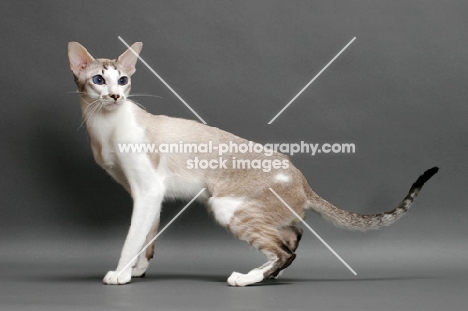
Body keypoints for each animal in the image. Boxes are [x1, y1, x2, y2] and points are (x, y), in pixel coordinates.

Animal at [67, 41, 436, 288]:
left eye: (123, 80)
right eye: (99, 81)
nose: (115, 96)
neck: (104, 127)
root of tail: (303, 181)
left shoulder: (147, 191)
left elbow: (133, 238)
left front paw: (120, 274)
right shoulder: (145, 195)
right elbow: (147, 237)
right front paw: (138, 271)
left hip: (225, 205)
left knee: (284, 249)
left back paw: (247, 278)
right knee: (294, 235)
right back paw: (269, 274)